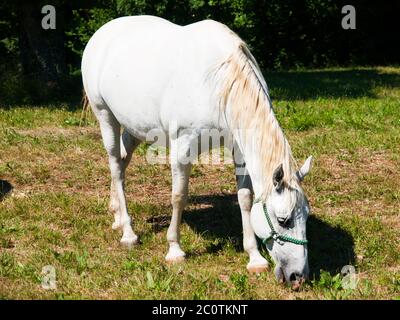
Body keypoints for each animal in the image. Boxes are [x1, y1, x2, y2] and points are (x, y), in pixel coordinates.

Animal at [81, 15, 312, 288]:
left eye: (306, 217)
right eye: (283, 220)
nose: (298, 276)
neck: (218, 81)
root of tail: (102, 32)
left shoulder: (240, 151)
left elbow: (245, 198)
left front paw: (254, 257)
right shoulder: (182, 149)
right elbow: (179, 196)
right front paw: (174, 250)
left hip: (135, 127)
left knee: (123, 161)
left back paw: (116, 215)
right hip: (106, 117)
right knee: (116, 166)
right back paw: (128, 232)